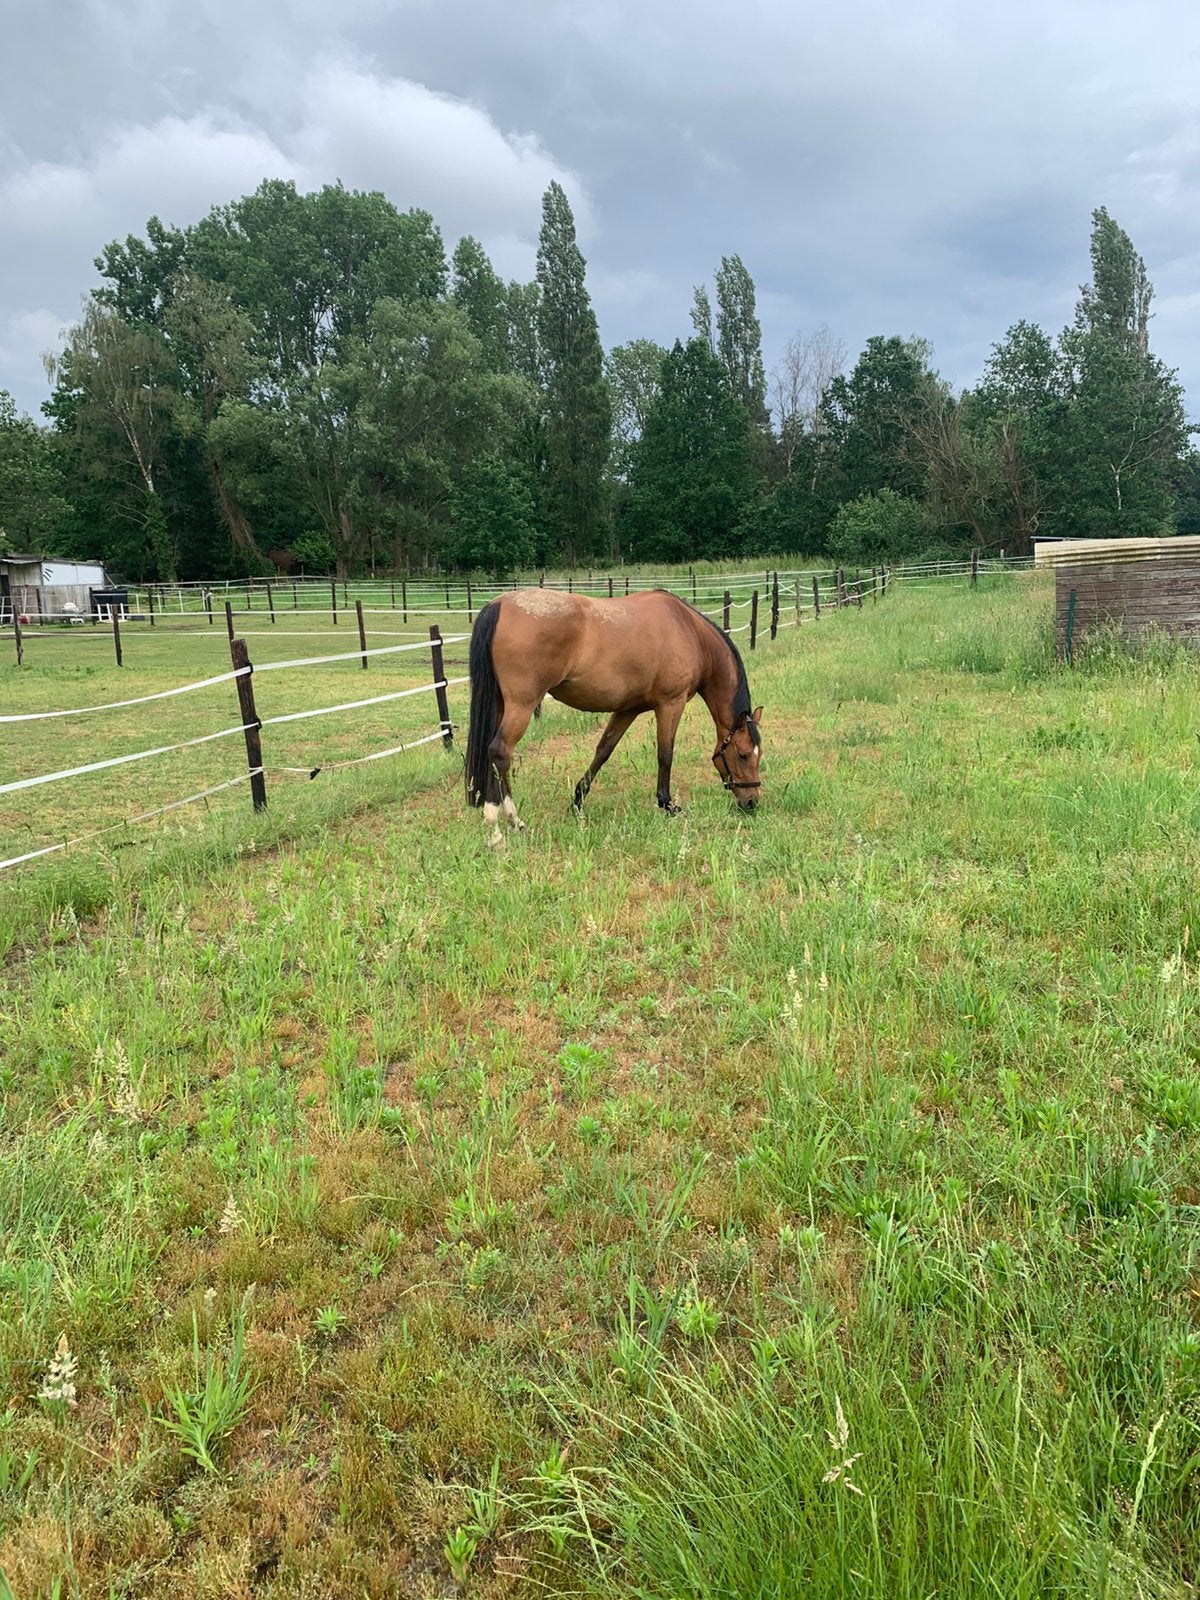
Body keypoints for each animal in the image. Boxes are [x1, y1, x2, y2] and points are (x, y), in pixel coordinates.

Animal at [464, 588, 763, 845]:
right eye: (743, 755)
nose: (751, 802)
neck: (689, 631)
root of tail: (499, 604)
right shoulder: (671, 704)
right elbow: (665, 754)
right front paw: (667, 804)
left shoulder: (627, 709)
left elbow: (603, 750)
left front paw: (578, 801)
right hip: (521, 706)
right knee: (500, 753)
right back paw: (504, 824)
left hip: (501, 705)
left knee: (491, 754)